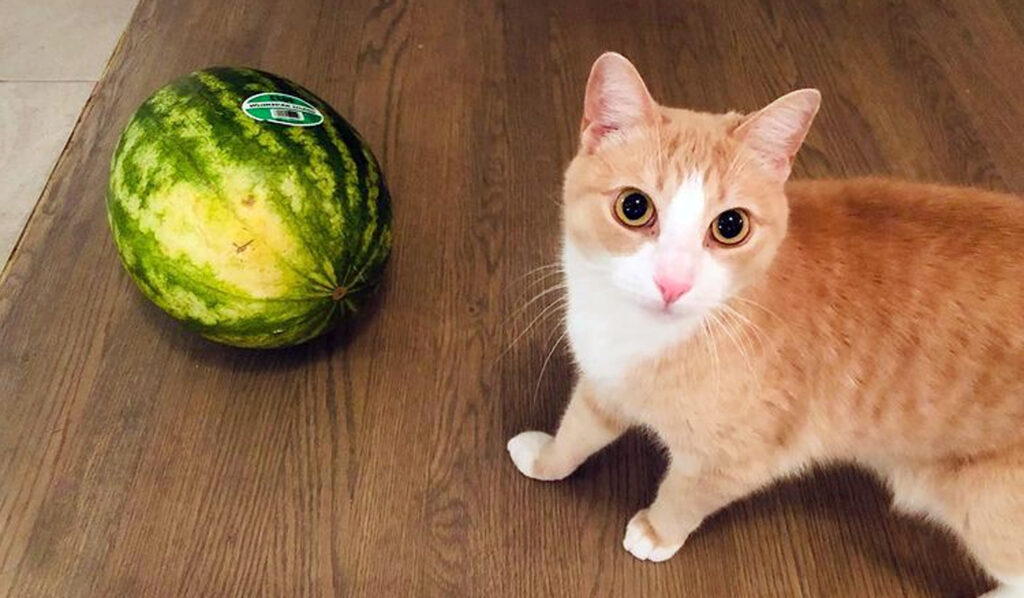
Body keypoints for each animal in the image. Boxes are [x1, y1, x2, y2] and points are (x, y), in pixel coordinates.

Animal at [505, 52, 1024, 598]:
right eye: (634, 206)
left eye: (730, 226)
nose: (673, 282)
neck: (642, 336)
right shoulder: (603, 383)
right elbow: (577, 431)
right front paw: (545, 460)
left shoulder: (738, 459)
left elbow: (686, 493)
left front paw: (655, 532)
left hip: (987, 506)